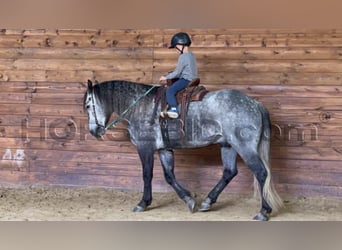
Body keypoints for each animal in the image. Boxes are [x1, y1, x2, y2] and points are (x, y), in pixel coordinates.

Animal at [83, 79, 284, 220]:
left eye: (87, 105)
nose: (94, 132)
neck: (140, 105)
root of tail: (255, 104)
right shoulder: (164, 149)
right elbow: (169, 176)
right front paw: (189, 200)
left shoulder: (145, 148)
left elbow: (147, 175)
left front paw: (143, 203)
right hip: (228, 146)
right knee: (229, 172)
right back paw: (207, 202)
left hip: (244, 147)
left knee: (260, 173)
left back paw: (264, 211)